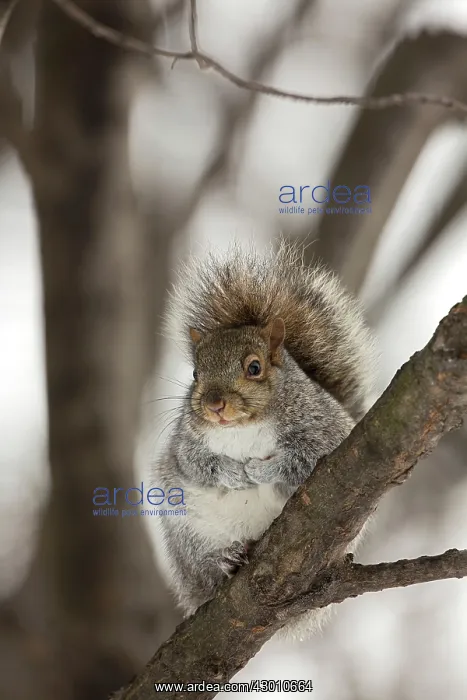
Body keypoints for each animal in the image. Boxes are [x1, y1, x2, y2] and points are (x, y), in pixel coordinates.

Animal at [154, 242, 376, 640]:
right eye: (195, 373)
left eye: (254, 368)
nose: (214, 405)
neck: (242, 427)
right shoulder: (185, 445)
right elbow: (196, 465)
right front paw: (233, 473)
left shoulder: (326, 433)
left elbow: (305, 459)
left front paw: (260, 471)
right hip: (188, 534)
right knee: (205, 567)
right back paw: (224, 559)